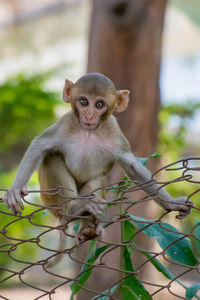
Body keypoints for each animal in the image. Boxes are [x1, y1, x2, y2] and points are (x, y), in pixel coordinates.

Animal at [2, 72, 193, 260]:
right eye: (84, 102)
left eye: (99, 104)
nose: (88, 116)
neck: (88, 132)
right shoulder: (65, 122)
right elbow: (40, 145)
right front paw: (15, 189)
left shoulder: (114, 130)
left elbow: (132, 166)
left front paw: (173, 203)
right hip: (50, 202)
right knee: (52, 157)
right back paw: (73, 209)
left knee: (97, 178)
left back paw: (88, 226)